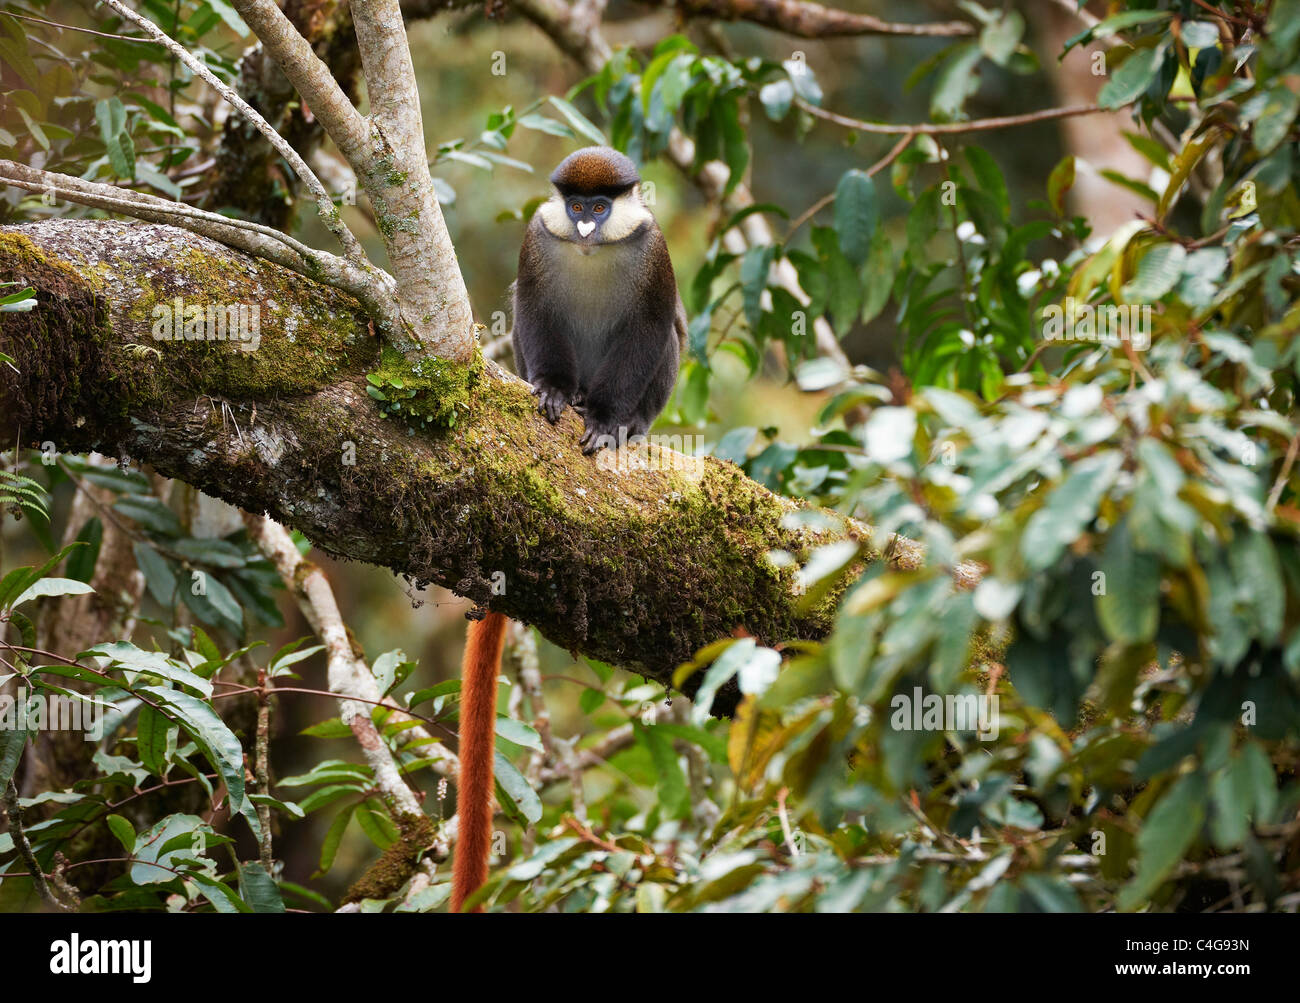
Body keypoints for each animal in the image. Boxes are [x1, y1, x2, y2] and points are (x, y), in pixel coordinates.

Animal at [511, 146, 686, 454]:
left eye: (600, 208)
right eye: (576, 207)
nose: (585, 229)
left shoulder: (654, 248)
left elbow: (648, 328)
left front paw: (604, 419)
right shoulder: (537, 236)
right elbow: (534, 309)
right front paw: (554, 389)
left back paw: (633, 422)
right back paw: (577, 395)